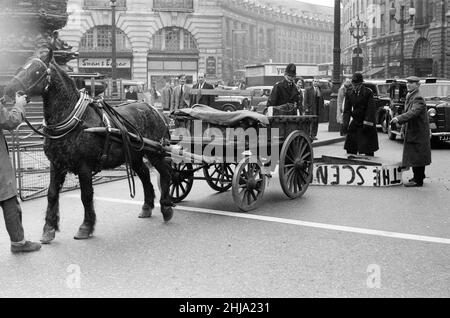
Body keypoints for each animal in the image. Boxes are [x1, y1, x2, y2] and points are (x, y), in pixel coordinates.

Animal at [4, 48, 175, 243]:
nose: (8, 91)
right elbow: (52, 194)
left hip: (155, 152)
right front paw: (49, 229)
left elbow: (86, 195)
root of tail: (155, 110)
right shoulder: (56, 165)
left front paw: (85, 227)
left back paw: (166, 207)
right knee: (146, 175)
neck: (73, 119)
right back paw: (147, 206)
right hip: (135, 156)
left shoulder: (84, 166)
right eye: (20, 67)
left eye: (37, 71)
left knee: (165, 172)